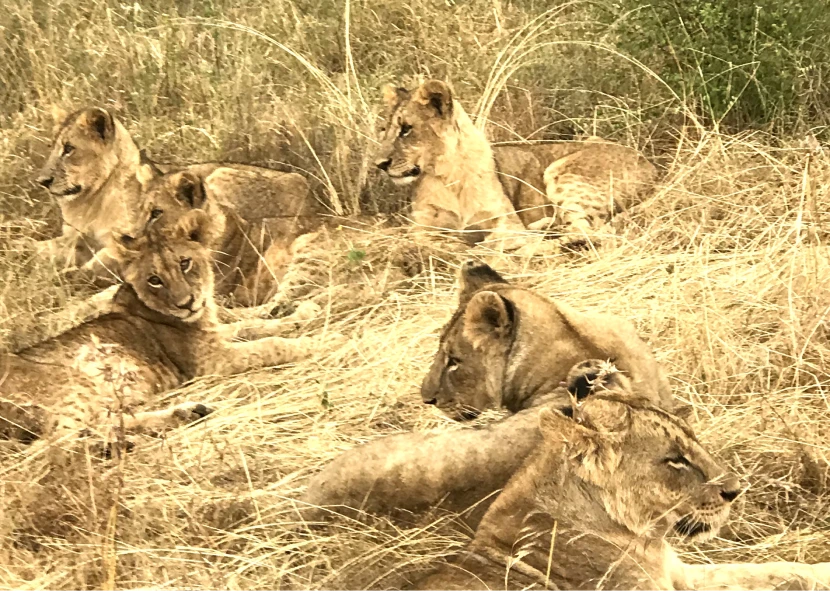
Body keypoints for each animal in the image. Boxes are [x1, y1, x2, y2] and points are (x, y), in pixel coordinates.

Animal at [0, 208, 342, 460]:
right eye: (154, 279)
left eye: (185, 263)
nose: (186, 303)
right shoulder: (210, 361)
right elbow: (269, 345)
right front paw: (317, 342)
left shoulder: (214, 335)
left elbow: (255, 326)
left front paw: (306, 313)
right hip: (74, 384)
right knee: (48, 448)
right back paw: (120, 446)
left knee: (100, 424)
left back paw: (187, 413)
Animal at [31, 106, 315, 303]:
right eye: (53, 148)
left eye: (69, 149)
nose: (43, 180)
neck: (89, 201)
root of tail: (309, 193)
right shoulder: (75, 238)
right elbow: (40, 248)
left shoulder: (122, 240)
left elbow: (100, 261)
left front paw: (70, 277)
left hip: (217, 175)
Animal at [375, 80, 657, 248]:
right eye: (385, 129)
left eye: (406, 129)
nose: (379, 164)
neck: (445, 175)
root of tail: (653, 167)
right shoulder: (420, 228)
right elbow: (427, 241)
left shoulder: (506, 221)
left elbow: (493, 238)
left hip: (562, 171)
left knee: (588, 231)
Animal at [410, 393, 830, 591]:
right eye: (675, 460)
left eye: (694, 442)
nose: (735, 490)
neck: (646, 538)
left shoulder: (681, 575)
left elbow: (765, 570)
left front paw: (819, 571)